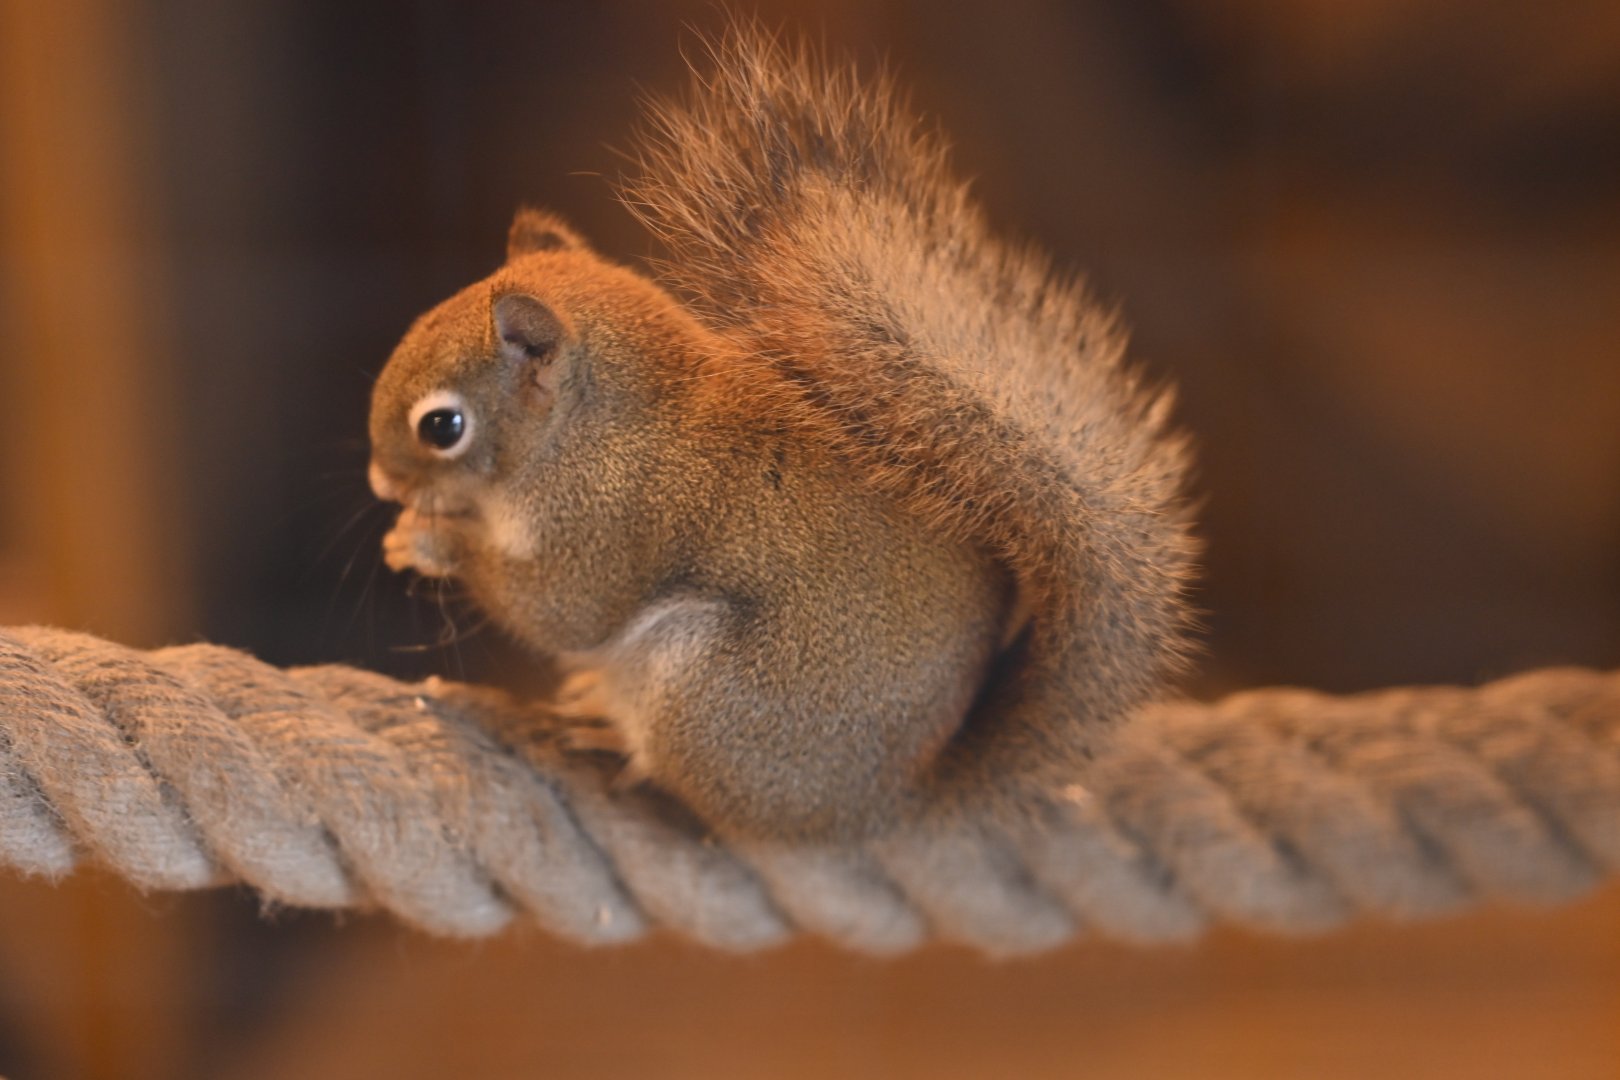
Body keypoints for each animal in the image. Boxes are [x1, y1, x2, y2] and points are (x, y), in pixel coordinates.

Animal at [367, 30, 1197, 842]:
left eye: (442, 426)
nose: (381, 482)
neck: (592, 428)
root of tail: (883, 803)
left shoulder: (614, 523)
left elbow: (563, 611)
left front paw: (431, 540)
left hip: (704, 694)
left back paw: (617, 739)